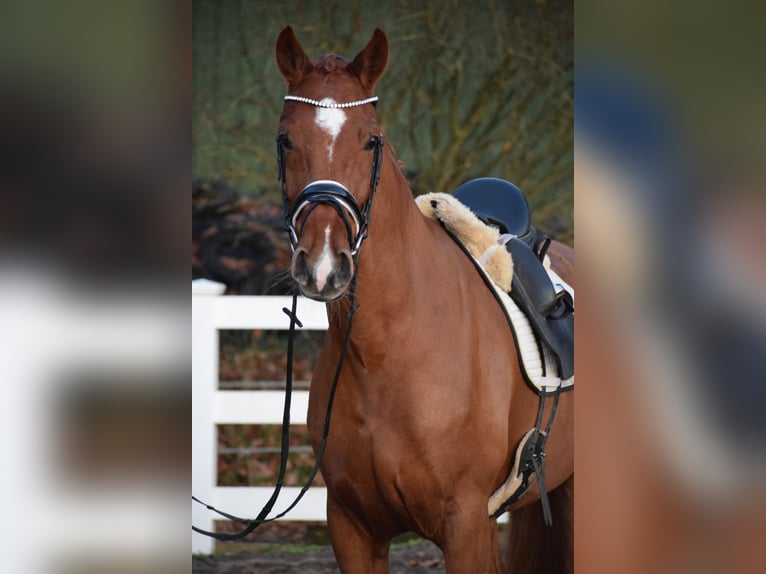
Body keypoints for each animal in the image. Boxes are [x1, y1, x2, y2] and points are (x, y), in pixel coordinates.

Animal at [275, 26, 574, 573]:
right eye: (286, 139)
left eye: (371, 139)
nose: (323, 264)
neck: (385, 352)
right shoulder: (352, 529)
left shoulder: (467, 527)